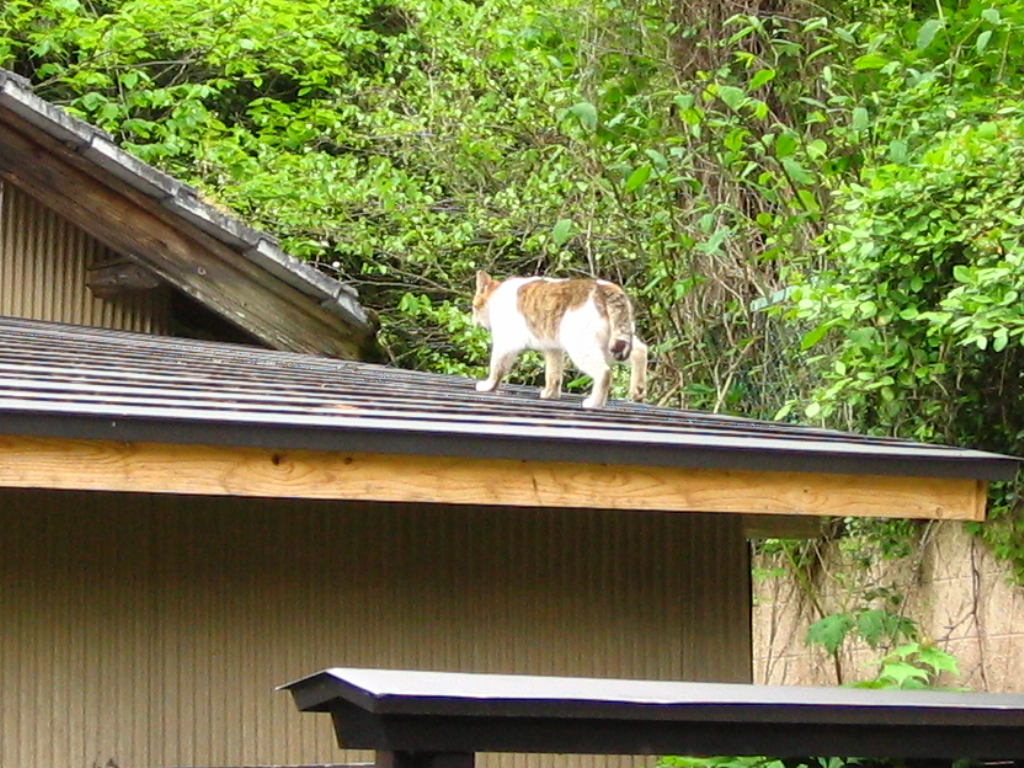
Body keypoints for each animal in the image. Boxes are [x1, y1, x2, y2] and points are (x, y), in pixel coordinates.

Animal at [471, 270, 648, 409]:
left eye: (474, 306)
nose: (474, 320)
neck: (496, 295)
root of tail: (606, 288)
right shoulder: (553, 349)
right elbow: (553, 374)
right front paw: (550, 393)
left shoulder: (506, 343)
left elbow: (497, 367)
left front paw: (488, 386)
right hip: (615, 344)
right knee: (640, 350)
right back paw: (637, 391)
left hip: (582, 346)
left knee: (604, 372)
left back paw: (594, 403)